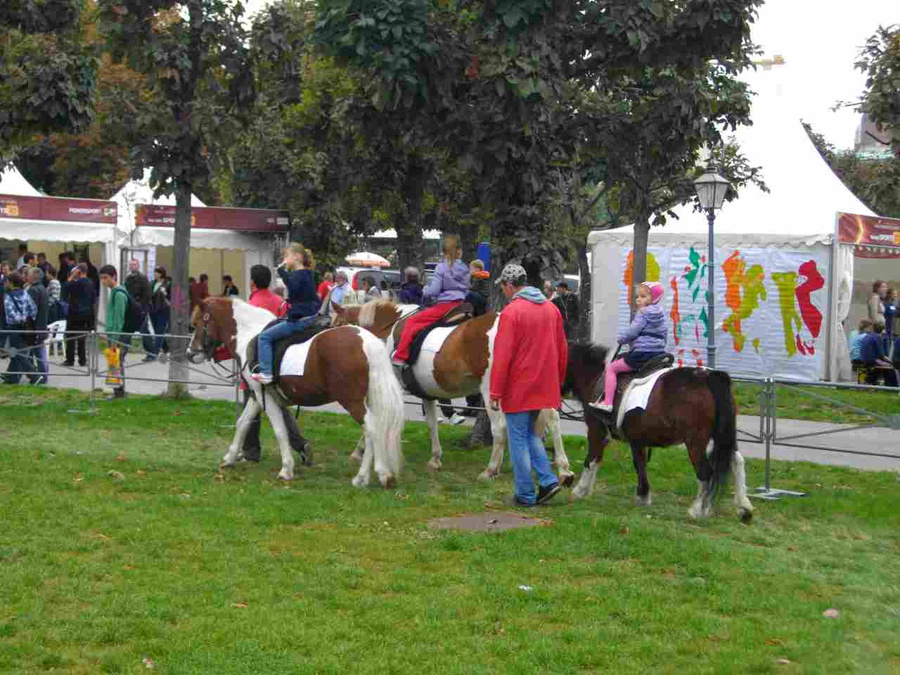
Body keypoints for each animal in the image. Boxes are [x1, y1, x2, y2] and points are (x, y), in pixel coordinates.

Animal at [186, 298, 404, 488]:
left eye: (197, 323)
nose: (190, 353)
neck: (249, 334)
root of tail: (367, 341)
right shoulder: (257, 395)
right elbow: (243, 423)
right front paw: (229, 458)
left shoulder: (266, 398)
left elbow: (280, 430)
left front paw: (286, 470)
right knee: (371, 431)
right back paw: (366, 477)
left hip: (351, 401)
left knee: (372, 429)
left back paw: (376, 475)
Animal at [330, 302, 576, 486]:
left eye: (338, 324)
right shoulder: (427, 393)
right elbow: (432, 424)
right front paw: (435, 459)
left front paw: (359, 451)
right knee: (553, 419)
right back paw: (564, 470)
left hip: (491, 391)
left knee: (500, 429)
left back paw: (490, 470)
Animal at [568, 344, 756, 524]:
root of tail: (710, 377)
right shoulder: (637, 439)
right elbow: (639, 463)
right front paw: (643, 496)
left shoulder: (597, 429)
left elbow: (592, 459)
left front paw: (580, 490)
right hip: (721, 435)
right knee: (736, 461)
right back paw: (744, 508)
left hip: (695, 441)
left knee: (705, 472)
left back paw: (698, 511)